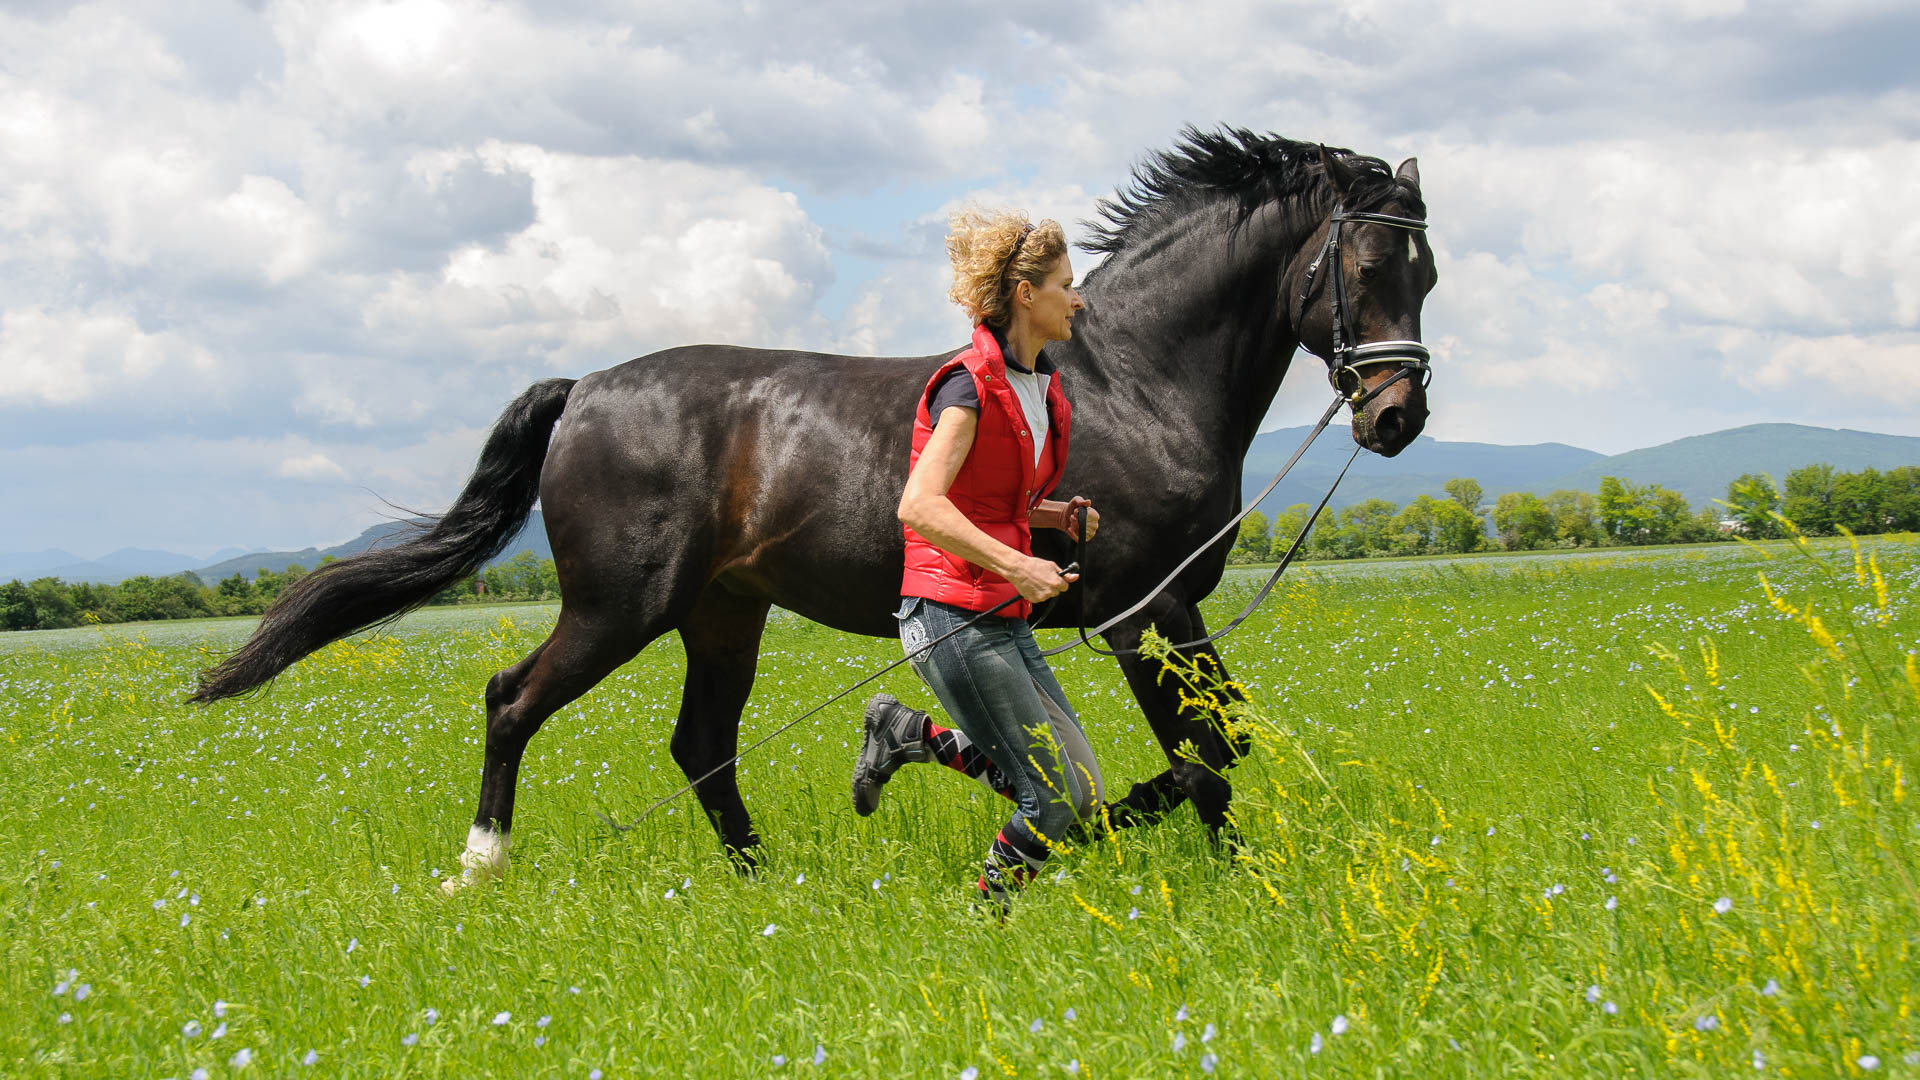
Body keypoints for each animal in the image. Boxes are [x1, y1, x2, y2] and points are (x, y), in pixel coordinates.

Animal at [194, 127, 1436, 883]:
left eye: (1426, 272)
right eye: (1367, 264)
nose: (1397, 417)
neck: (1134, 378)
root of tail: (586, 387)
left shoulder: (1175, 610)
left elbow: (1218, 742)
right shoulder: (1141, 610)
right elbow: (1197, 755)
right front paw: (1178, 852)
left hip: (722, 614)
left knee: (700, 743)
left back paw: (763, 878)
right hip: (619, 608)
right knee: (512, 701)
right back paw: (482, 864)